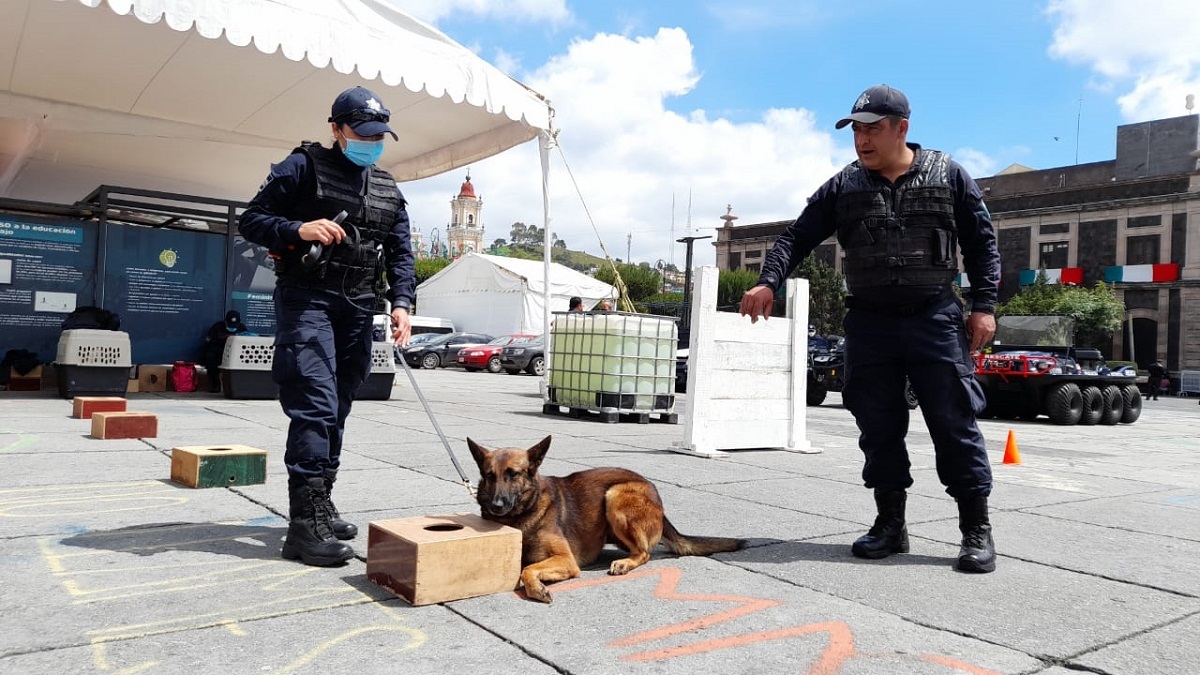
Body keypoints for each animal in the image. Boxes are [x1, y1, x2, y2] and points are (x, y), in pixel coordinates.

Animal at [465, 432, 739, 600]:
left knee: (644, 553)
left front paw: (536, 588)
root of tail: (657, 499)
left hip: (615, 495)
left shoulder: (566, 560)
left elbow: (528, 569)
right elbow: (525, 567)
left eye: (513, 474)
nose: (497, 505)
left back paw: (625, 563)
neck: (519, 517)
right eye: (490, 475)